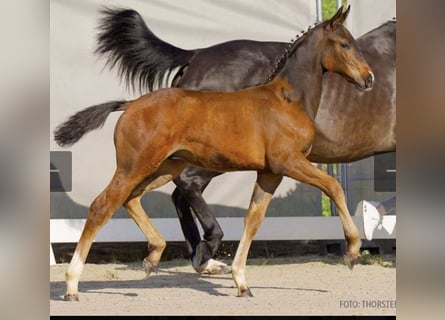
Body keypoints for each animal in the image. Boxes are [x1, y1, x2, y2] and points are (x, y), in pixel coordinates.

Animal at [56, 6, 374, 298]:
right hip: (135, 165)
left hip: (164, 167)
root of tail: (131, 104)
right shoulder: (289, 162)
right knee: (102, 206)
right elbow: (333, 186)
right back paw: (72, 284)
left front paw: (241, 282)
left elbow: (253, 220)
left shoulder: (269, 173)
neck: (287, 100)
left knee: (131, 199)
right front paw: (353, 251)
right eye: (345, 44)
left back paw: (153, 256)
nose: (368, 78)